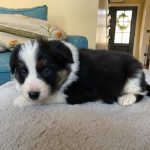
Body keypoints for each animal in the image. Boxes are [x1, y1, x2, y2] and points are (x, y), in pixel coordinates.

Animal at [10, 38, 150, 106]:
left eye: (46, 70)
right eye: (22, 71)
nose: (33, 94)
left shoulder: (80, 93)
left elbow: (49, 96)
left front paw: (21, 100)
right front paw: (18, 88)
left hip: (134, 74)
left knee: (141, 92)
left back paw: (126, 98)